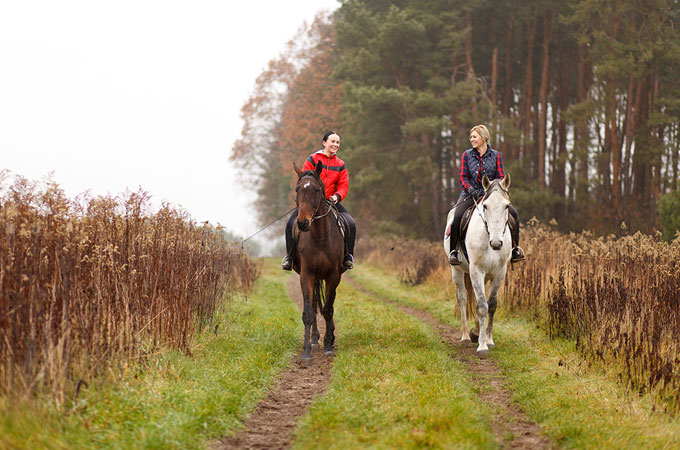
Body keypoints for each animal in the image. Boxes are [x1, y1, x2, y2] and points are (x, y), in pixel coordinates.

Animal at [292, 160, 346, 360]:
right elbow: (309, 312)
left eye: (316, 190)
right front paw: (307, 351)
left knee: (327, 304)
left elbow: (328, 309)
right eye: (297, 189)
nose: (302, 223)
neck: (321, 237)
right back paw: (315, 339)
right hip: (314, 277)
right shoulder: (306, 275)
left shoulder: (334, 276)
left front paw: (329, 345)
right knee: (315, 303)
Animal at [444, 174, 512, 354]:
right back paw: (466, 337)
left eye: (507, 206)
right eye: (485, 206)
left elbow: (491, 305)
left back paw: (474, 333)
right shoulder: (476, 271)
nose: (496, 243)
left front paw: (488, 340)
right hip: (457, 270)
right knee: (462, 298)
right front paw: (482, 346)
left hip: (486, 275)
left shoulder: (499, 273)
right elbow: (481, 306)